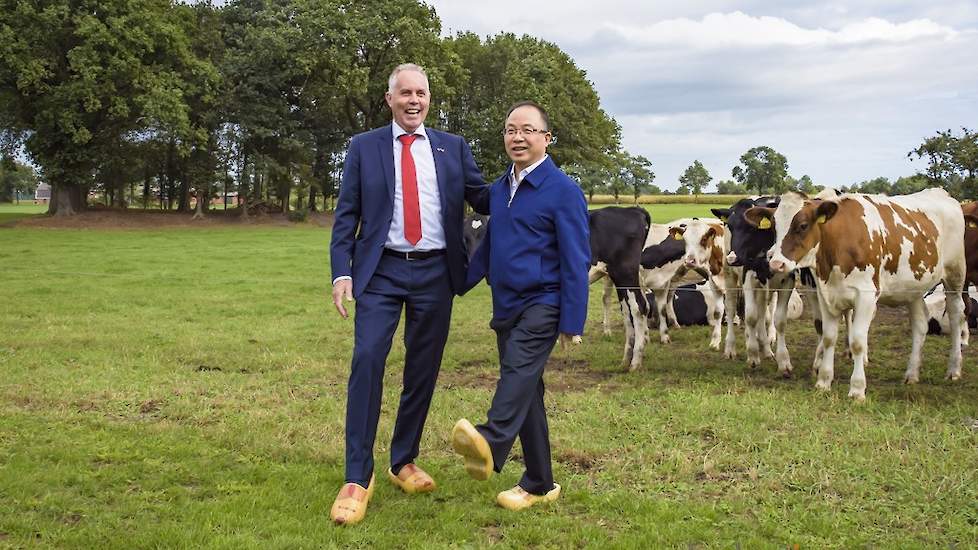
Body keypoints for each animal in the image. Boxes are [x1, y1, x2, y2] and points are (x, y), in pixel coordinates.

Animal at [584, 206, 652, 370]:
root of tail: (632, 210)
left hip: (625, 273)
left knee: (639, 307)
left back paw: (635, 362)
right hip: (619, 278)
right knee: (628, 311)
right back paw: (626, 359)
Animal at [752, 190, 964, 402]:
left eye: (803, 225)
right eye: (774, 226)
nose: (776, 263)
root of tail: (940, 192)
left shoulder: (866, 297)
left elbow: (857, 342)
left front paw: (857, 389)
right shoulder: (826, 294)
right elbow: (828, 337)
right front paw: (823, 382)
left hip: (955, 275)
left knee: (956, 317)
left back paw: (954, 369)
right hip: (913, 288)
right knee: (920, 325)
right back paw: (911, 374)